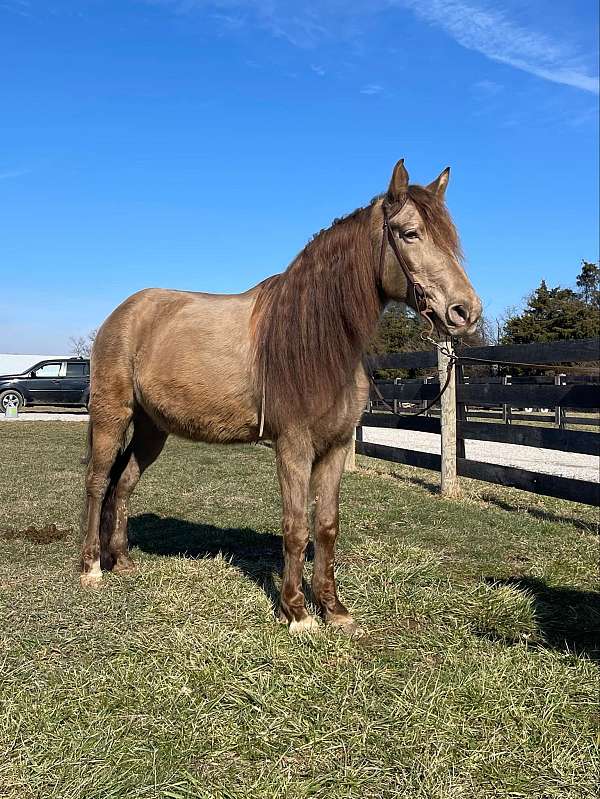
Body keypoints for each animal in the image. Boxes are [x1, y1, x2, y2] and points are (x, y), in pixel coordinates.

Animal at [81, 159, 482, 636]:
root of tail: (122, 312)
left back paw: (121, 560)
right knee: (97, 482)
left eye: (450, 237)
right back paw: (91, 568)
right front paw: (297, 611)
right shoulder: (293, 446)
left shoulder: (335, 447)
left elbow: (325, 525)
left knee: (123, 484)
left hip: (151, 429)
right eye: (409, 234)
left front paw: (334, 609)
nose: (466, 311)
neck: (317, 341)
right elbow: (295, 527)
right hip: (112, 416)